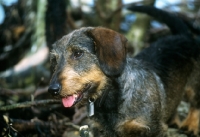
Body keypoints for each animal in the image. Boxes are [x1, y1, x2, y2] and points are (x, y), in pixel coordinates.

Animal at [48, 5, 200, 137]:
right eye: (54, 60)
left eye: (78, 53)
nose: (52, 90)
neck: (112, 98)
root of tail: (183, 36)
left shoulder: (154, 129)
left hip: (194, 87)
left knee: (195, 105)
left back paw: (190, 125)